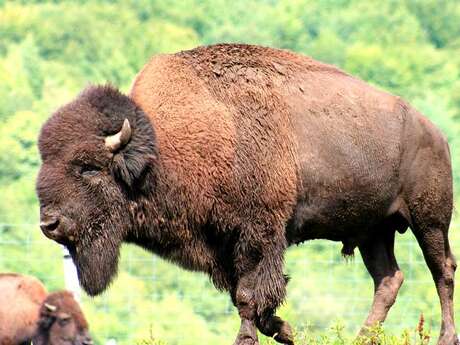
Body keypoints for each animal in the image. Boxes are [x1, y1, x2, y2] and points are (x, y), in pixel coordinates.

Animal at [36, 44, 456, 344]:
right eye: (45, 161)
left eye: (89, 167)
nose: (49, 223)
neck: (164, 151)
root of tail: (433, 131)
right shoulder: (223, 244)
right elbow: (244, 293)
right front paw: (284, 330)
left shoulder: (259, 233)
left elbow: (252, 293)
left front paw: (251, 337)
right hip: (374, 231)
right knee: (388, 279)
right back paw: (361, 338)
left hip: (429, 221)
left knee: (443, 271)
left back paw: (445, 336)